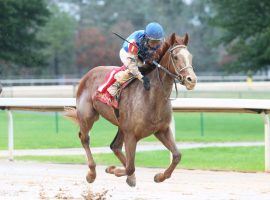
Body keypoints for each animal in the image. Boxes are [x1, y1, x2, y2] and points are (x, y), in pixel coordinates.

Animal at [65, 32, 196, 187]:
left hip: (121, 125)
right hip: (88, 116)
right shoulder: (131, 135)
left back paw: (130, 177)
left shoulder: (161, 130)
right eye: (175, 57)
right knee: (85, 139)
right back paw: (92, 173)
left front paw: (159, 176)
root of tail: (89, 73)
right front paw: (113, 170)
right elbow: (130, 167)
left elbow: (176, 155)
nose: (191, 80)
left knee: (115, 146)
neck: (152, 97)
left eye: (190, 56)